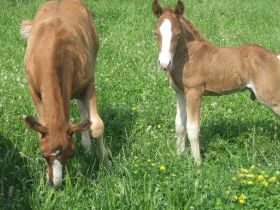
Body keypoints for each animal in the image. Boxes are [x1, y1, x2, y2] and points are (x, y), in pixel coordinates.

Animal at [20, 0, 110, 187]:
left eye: (70, 154)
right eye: (43, 155)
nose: (55, 184)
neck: (55, 49)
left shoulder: (88, 85)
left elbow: (96, 125)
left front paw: (106, 162)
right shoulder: (33, 91)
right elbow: (42, 124)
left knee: (83, 110)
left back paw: (87, 145)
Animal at [152, 0, 280, 164]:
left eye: (178, 34)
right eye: (156, 33)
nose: (164, 64)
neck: (190, 55)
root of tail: (275, 57)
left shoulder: (194, 93)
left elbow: (192, 128)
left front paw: (197, 164)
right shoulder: (180, 93)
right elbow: (179, 125)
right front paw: (179, 157)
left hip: (271, 98)